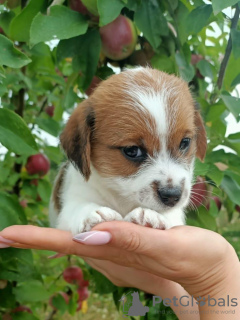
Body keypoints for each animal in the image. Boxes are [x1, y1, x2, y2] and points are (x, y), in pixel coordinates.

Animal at [48, 67, 206, 235]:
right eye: (132, 150)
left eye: (184, 143)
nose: (172, 195)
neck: (123, 197)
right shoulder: (75, 197)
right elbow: (77, 207)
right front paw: (91, 213)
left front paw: (153, 215)